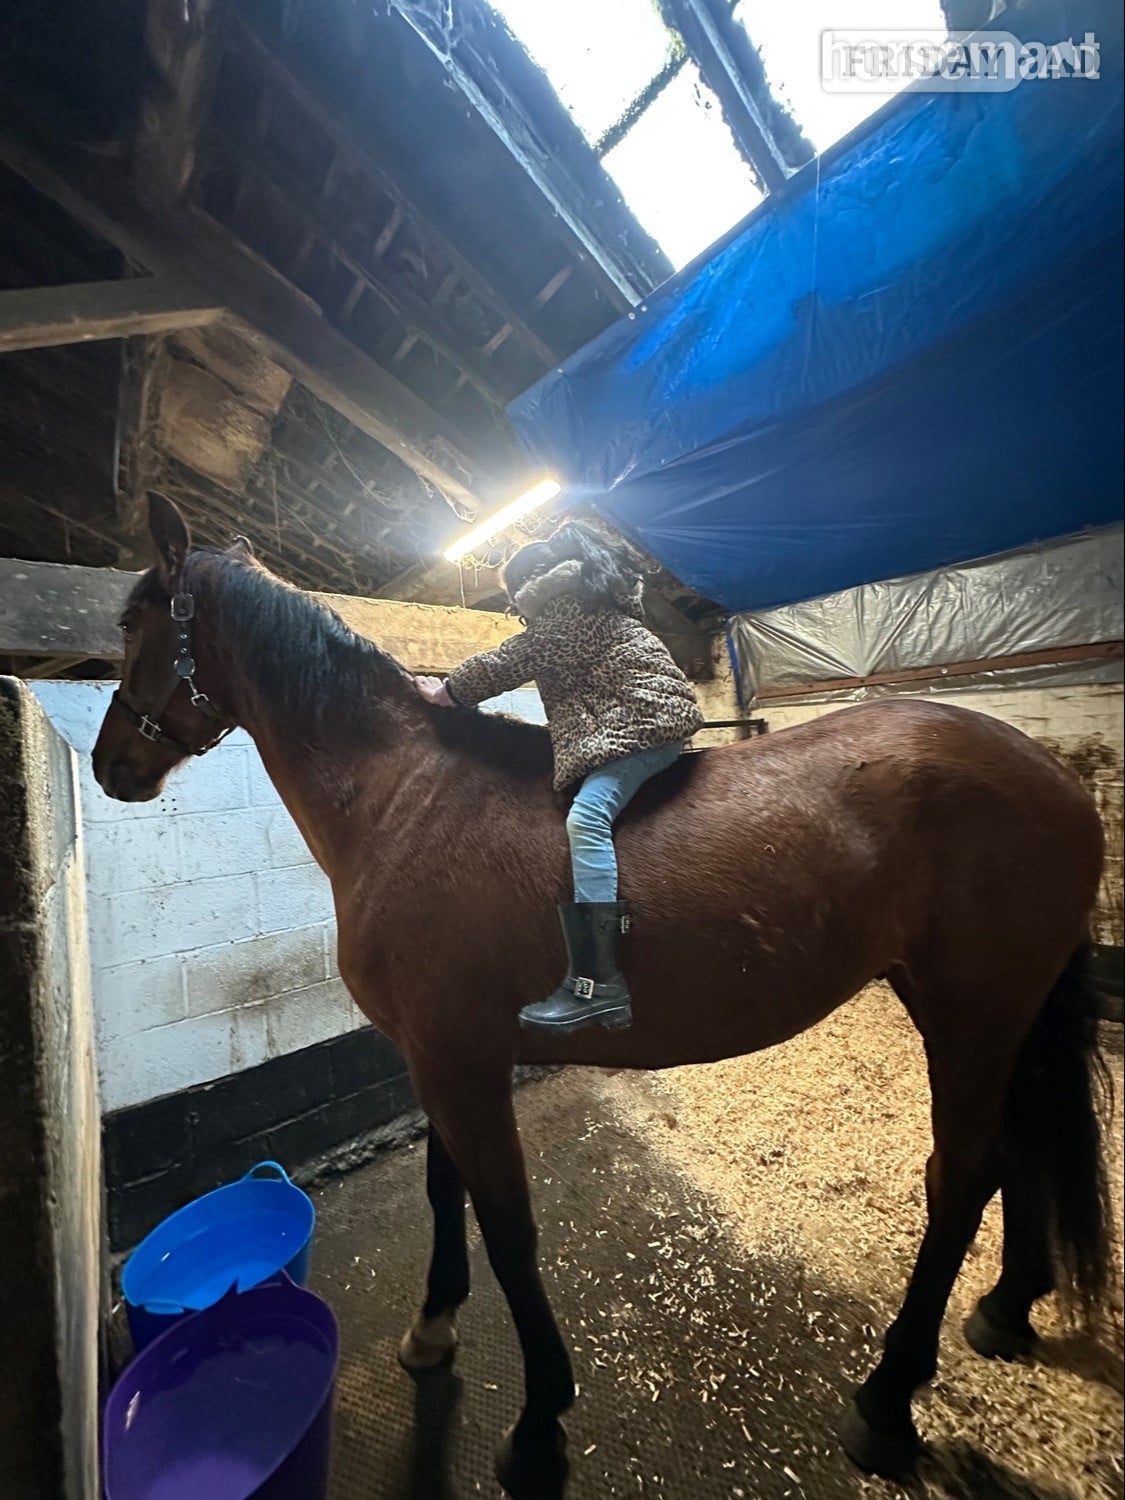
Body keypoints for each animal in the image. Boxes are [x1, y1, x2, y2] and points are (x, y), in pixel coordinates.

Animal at [92, 496, 1115, 1496]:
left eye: (132, 621)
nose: (109, 765)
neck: (405, 800)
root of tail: (1053, 775)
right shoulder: (437, 1057)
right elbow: (443, 1189)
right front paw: (432, 1328)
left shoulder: (461, 1063)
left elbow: (508, 1227)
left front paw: (537, 1428)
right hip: (992, 1015)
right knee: (1018, 1154)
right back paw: (1004, 1310)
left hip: (970, 1014)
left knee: (961, 1178)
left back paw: (887, 1403)